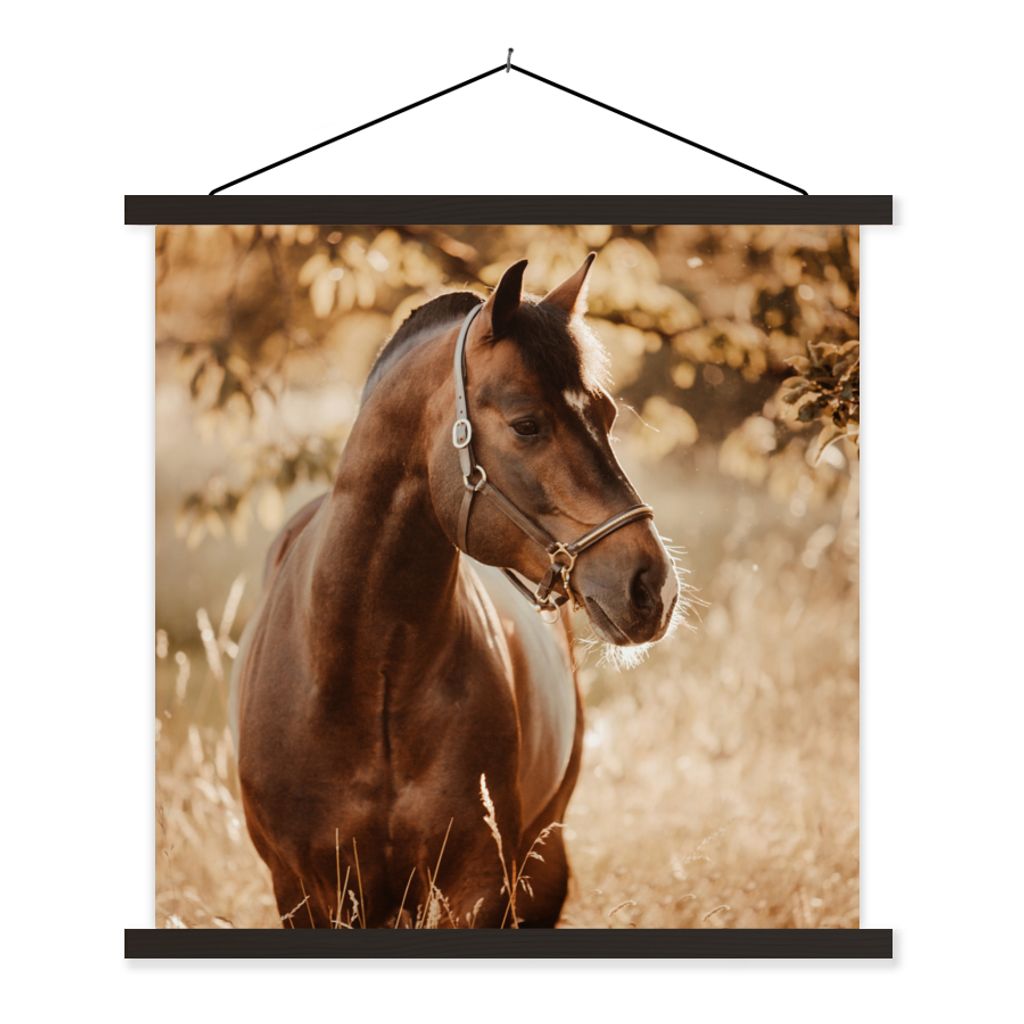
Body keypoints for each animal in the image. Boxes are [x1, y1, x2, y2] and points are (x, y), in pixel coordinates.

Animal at [231, 252, 679, 928]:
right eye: (527, 424)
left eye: (606, 415)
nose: (653, 585)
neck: (365, 678)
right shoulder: (305, 891)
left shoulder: (480, 884)